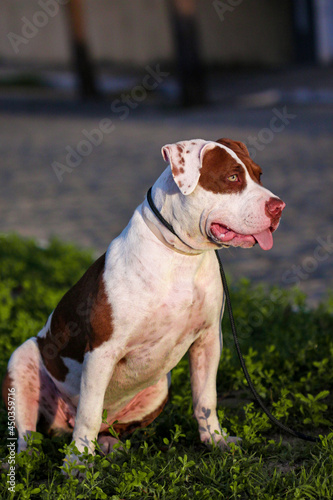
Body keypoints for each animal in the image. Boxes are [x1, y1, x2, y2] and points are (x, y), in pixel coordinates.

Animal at [1, 137, 284, 464]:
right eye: (233, 177)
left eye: (259, 175)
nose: (279, 207)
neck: (181, 256)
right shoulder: (102, 350)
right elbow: (88, 413)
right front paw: (77, 464)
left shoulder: (209, 339)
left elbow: (206, 399)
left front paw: (215, 439)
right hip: (22, 361)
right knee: (30, 431)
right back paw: (25, 460)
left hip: (160, 386)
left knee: (108, 426)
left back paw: (109, 445)